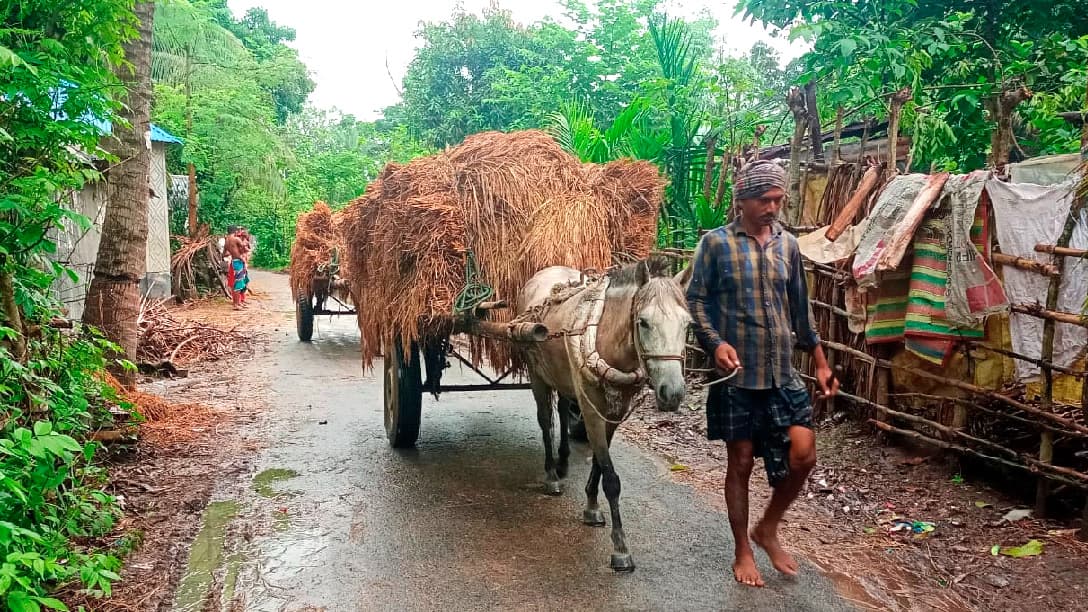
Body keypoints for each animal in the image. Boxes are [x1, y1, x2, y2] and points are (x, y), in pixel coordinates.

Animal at [515, 259, 687, 570]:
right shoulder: (592, 410)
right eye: (643, 322)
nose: (673, 393)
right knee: (545, 421)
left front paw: (592, 506)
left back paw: (563, 461)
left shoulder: (614, 411)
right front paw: (620, 546)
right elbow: (611, 477)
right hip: (536, 374)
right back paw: (552, 474)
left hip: (563, 379)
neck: (603, 334)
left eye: (687, 324)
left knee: (562, 409)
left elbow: (598, 459)